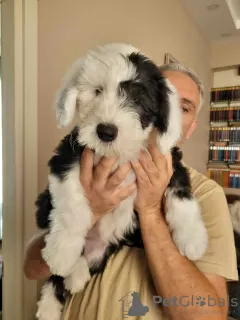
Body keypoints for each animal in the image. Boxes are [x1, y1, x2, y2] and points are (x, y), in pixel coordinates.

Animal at [35, 43, 208, 320]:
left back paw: (75, 277)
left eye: (138, 100)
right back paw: (58, 293)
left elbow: (182, 196)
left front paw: (192, 238)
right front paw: (62, 251)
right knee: (56, 275)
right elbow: (72, 207)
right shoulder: (68, 156)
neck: (120, 153)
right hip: (43, 205)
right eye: (97, 91)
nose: (106, 132)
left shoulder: (171, 162)